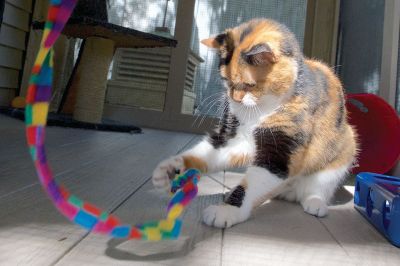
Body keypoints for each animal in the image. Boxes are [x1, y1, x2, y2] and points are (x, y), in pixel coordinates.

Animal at [153, 18, 356, 228]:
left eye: (249, 85)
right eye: (226, 80)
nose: (234, 99)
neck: (259, 109)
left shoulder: (280, 149)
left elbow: (250, 186)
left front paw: (226, 211)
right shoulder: (236, 138)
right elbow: (209, 153)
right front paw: (170, 168)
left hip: (344, 149)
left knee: (319, 187)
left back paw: (315, 203)